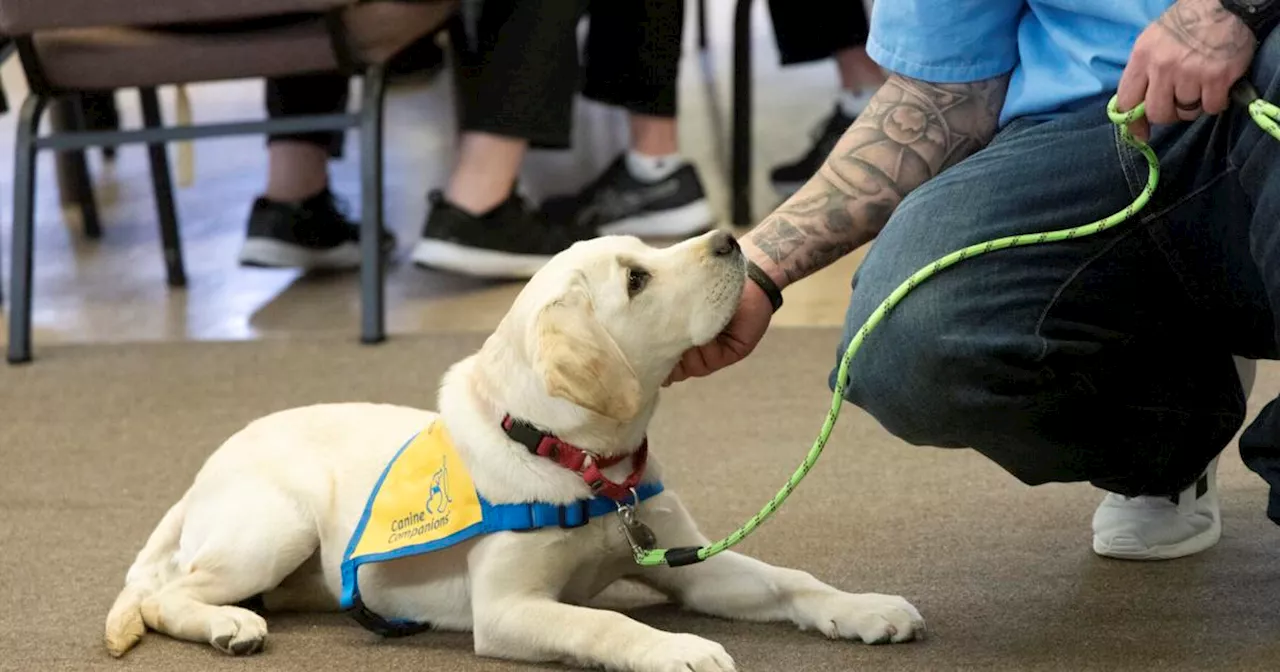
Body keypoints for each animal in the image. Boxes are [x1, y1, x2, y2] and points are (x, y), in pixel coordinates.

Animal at [102, 231, 921, 670]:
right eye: (637, 278)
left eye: (645, 251)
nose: (730, 239)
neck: (583, 463)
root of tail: (206, 470)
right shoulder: (506, 609)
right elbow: (605, 622)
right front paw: (673, 649)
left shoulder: (690, 565)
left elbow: (790, 581)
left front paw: (863, 608)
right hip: (277, 528)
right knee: (163, 595)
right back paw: (228, 626)